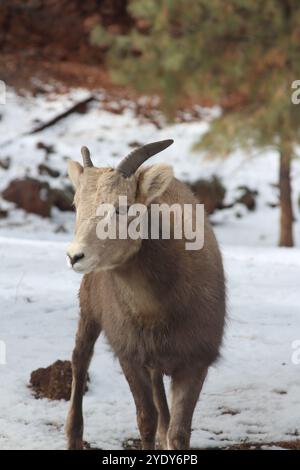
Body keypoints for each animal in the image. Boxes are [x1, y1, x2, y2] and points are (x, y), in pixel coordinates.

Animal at [65, 140, 225, 452]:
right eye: (76, 204)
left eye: (122, 208)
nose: (75, 256)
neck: (158, 311)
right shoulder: (130, 356)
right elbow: (146, 420)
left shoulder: (195, 362)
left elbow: (179, 432)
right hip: (88, 310)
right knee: (80, 359)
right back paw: (73, 436)